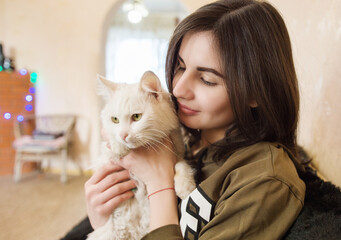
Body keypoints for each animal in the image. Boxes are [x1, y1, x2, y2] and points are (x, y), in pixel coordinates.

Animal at [86, 70, 195, 239]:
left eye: (136, 117)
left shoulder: (177, 152)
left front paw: (186, 186)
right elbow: (110, 142)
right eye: (115, 120)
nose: (123, 135)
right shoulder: (105, 153)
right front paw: (119, 146)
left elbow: (181, 165)